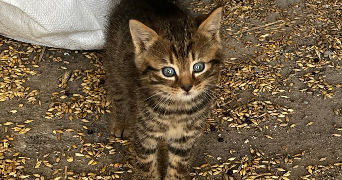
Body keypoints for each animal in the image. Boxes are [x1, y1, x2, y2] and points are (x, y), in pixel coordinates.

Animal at [104, 0, 222, 179]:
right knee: (118, 92)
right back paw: (121, 121)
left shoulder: (186, 137)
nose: (187, 87)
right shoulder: (144, 131)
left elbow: (178, 165)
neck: (177, 109)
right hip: (114, 65)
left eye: (198, 67)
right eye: (168, 71)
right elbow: (145, 163)